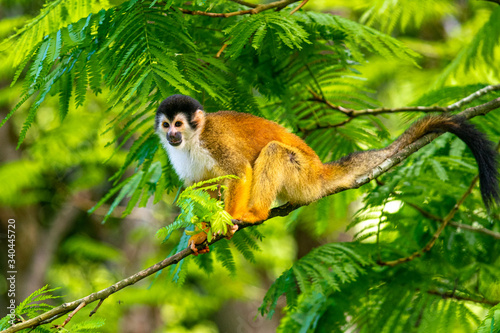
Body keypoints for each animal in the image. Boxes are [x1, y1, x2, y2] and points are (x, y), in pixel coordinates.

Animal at [154, 94, 498, 253]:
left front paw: (225, 222)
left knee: (275, 151)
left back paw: (254, 213)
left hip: (302, 176)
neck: (194, 140)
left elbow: (238, 171)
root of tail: (320, 171)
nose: (171, 134)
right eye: (166, 124)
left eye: (179, 124)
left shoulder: (214, 140)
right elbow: (201, 189)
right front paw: (201, 233)